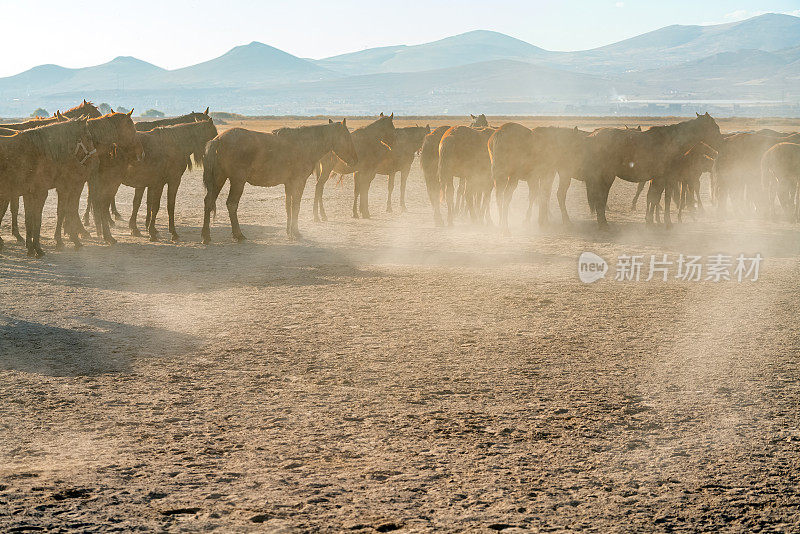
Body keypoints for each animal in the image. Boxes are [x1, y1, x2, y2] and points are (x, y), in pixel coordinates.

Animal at [203, 120, 356, 244]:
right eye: (347, 137)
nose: (354, 160)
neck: (304, 144)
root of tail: (218, 140)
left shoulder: (288, 184)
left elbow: (288, 206)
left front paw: (289, 232)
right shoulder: (299, 182)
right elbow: (296, 206)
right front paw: (296, 233)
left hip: (219, 179)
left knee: (209, 201)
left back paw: (206, 236)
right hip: (237, 181)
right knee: (231, 204)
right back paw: (238, 235)